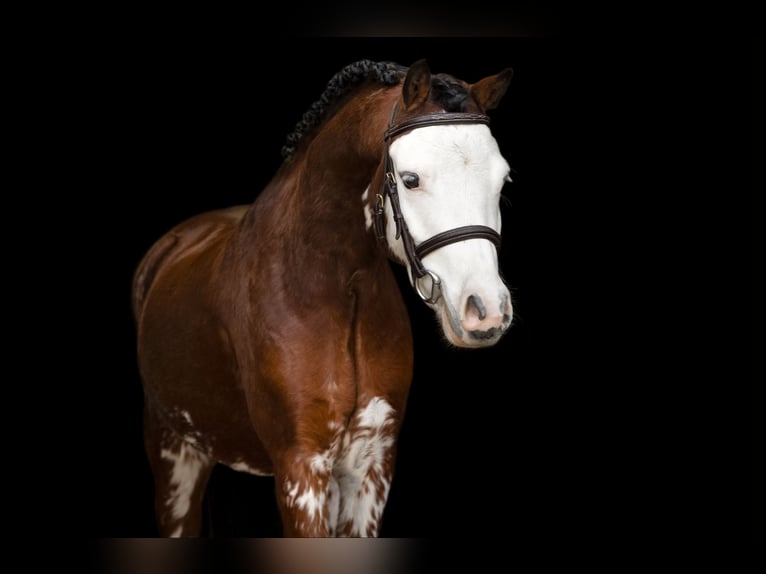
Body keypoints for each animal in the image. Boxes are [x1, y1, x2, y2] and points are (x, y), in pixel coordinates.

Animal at [132, 58, 515, 537]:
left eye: (503, 179)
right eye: (411, 180)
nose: (486, 310)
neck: (330, 290)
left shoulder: (370, 466)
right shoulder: (301, 467)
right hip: (173, 453)